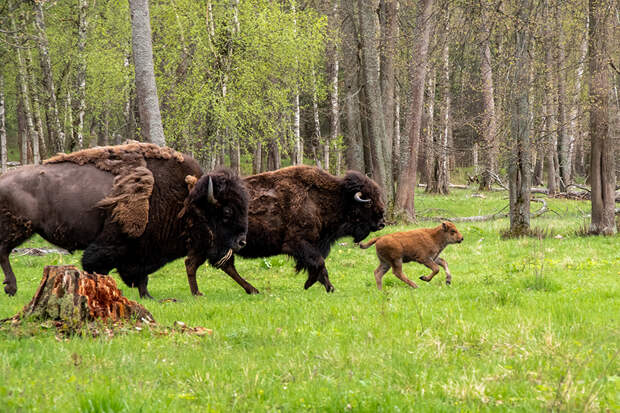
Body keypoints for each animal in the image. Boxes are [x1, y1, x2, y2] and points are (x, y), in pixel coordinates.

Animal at [0, 142, 247, 296]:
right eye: (227, 212)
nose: (241, 241)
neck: (186, 200)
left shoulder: (142, 252)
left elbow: (141, 276)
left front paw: (147, 296)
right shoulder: (113, 243)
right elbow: (97, 266)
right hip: (19, 228)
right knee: (3, 251)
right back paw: (11, 288)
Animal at [186, 163, 386, 294]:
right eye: (368, 203)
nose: (382, 222)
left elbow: (319, 264)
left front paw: (327, 287)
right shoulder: (298, 243)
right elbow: (319, 262)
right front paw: (312, 285)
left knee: (205, 264)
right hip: (213, 244)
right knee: (206, 264)